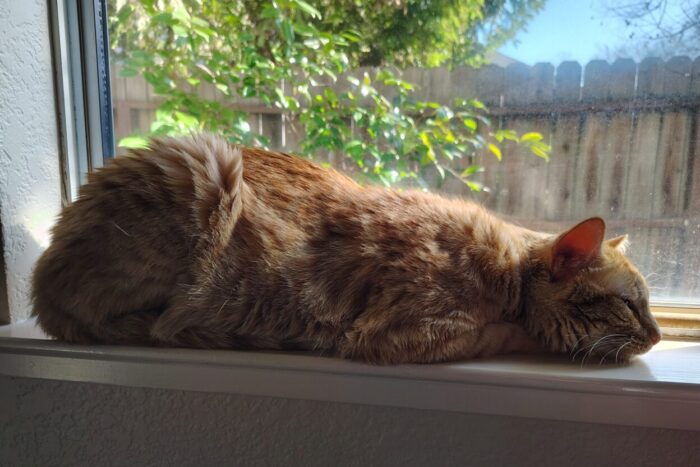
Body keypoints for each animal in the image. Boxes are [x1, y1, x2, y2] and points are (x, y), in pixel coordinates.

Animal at [28, 133, 660, 364]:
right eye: (630, 304)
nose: (657, 335)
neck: (505, 269)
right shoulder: (402, 336)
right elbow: (510, 332)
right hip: (203, 169)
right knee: (143, 322)